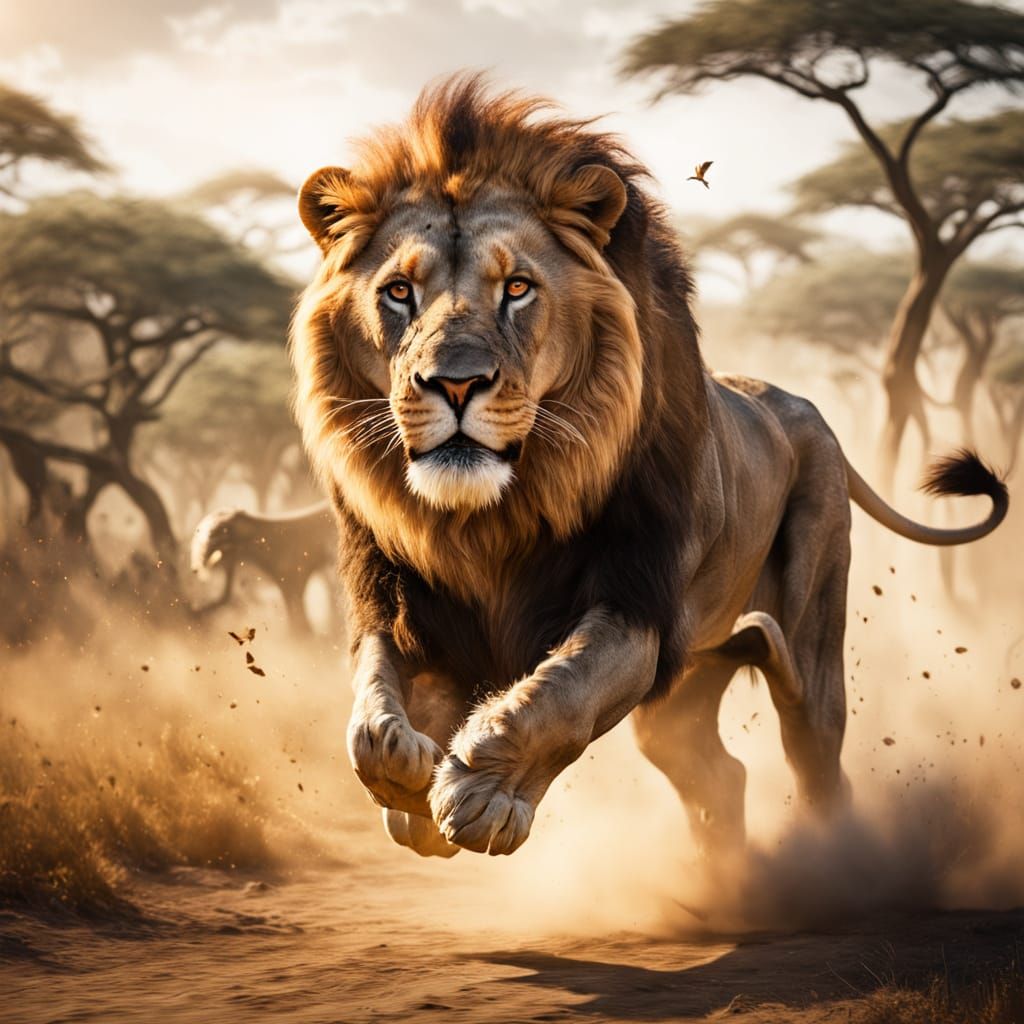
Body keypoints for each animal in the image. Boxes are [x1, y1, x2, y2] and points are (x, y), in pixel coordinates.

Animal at [288, 75, 1008, 859]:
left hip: (809, 644)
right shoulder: (397, 605)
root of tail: (810, 412)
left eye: (517, 288)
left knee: (819, 765)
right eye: (398, 291)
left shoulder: (636, 609)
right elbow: (370, 715)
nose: (454, 383)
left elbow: (561, 693)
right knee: (716, 774)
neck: (494, 513)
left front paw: (483, 797)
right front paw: (408, 785)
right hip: (691, 683)